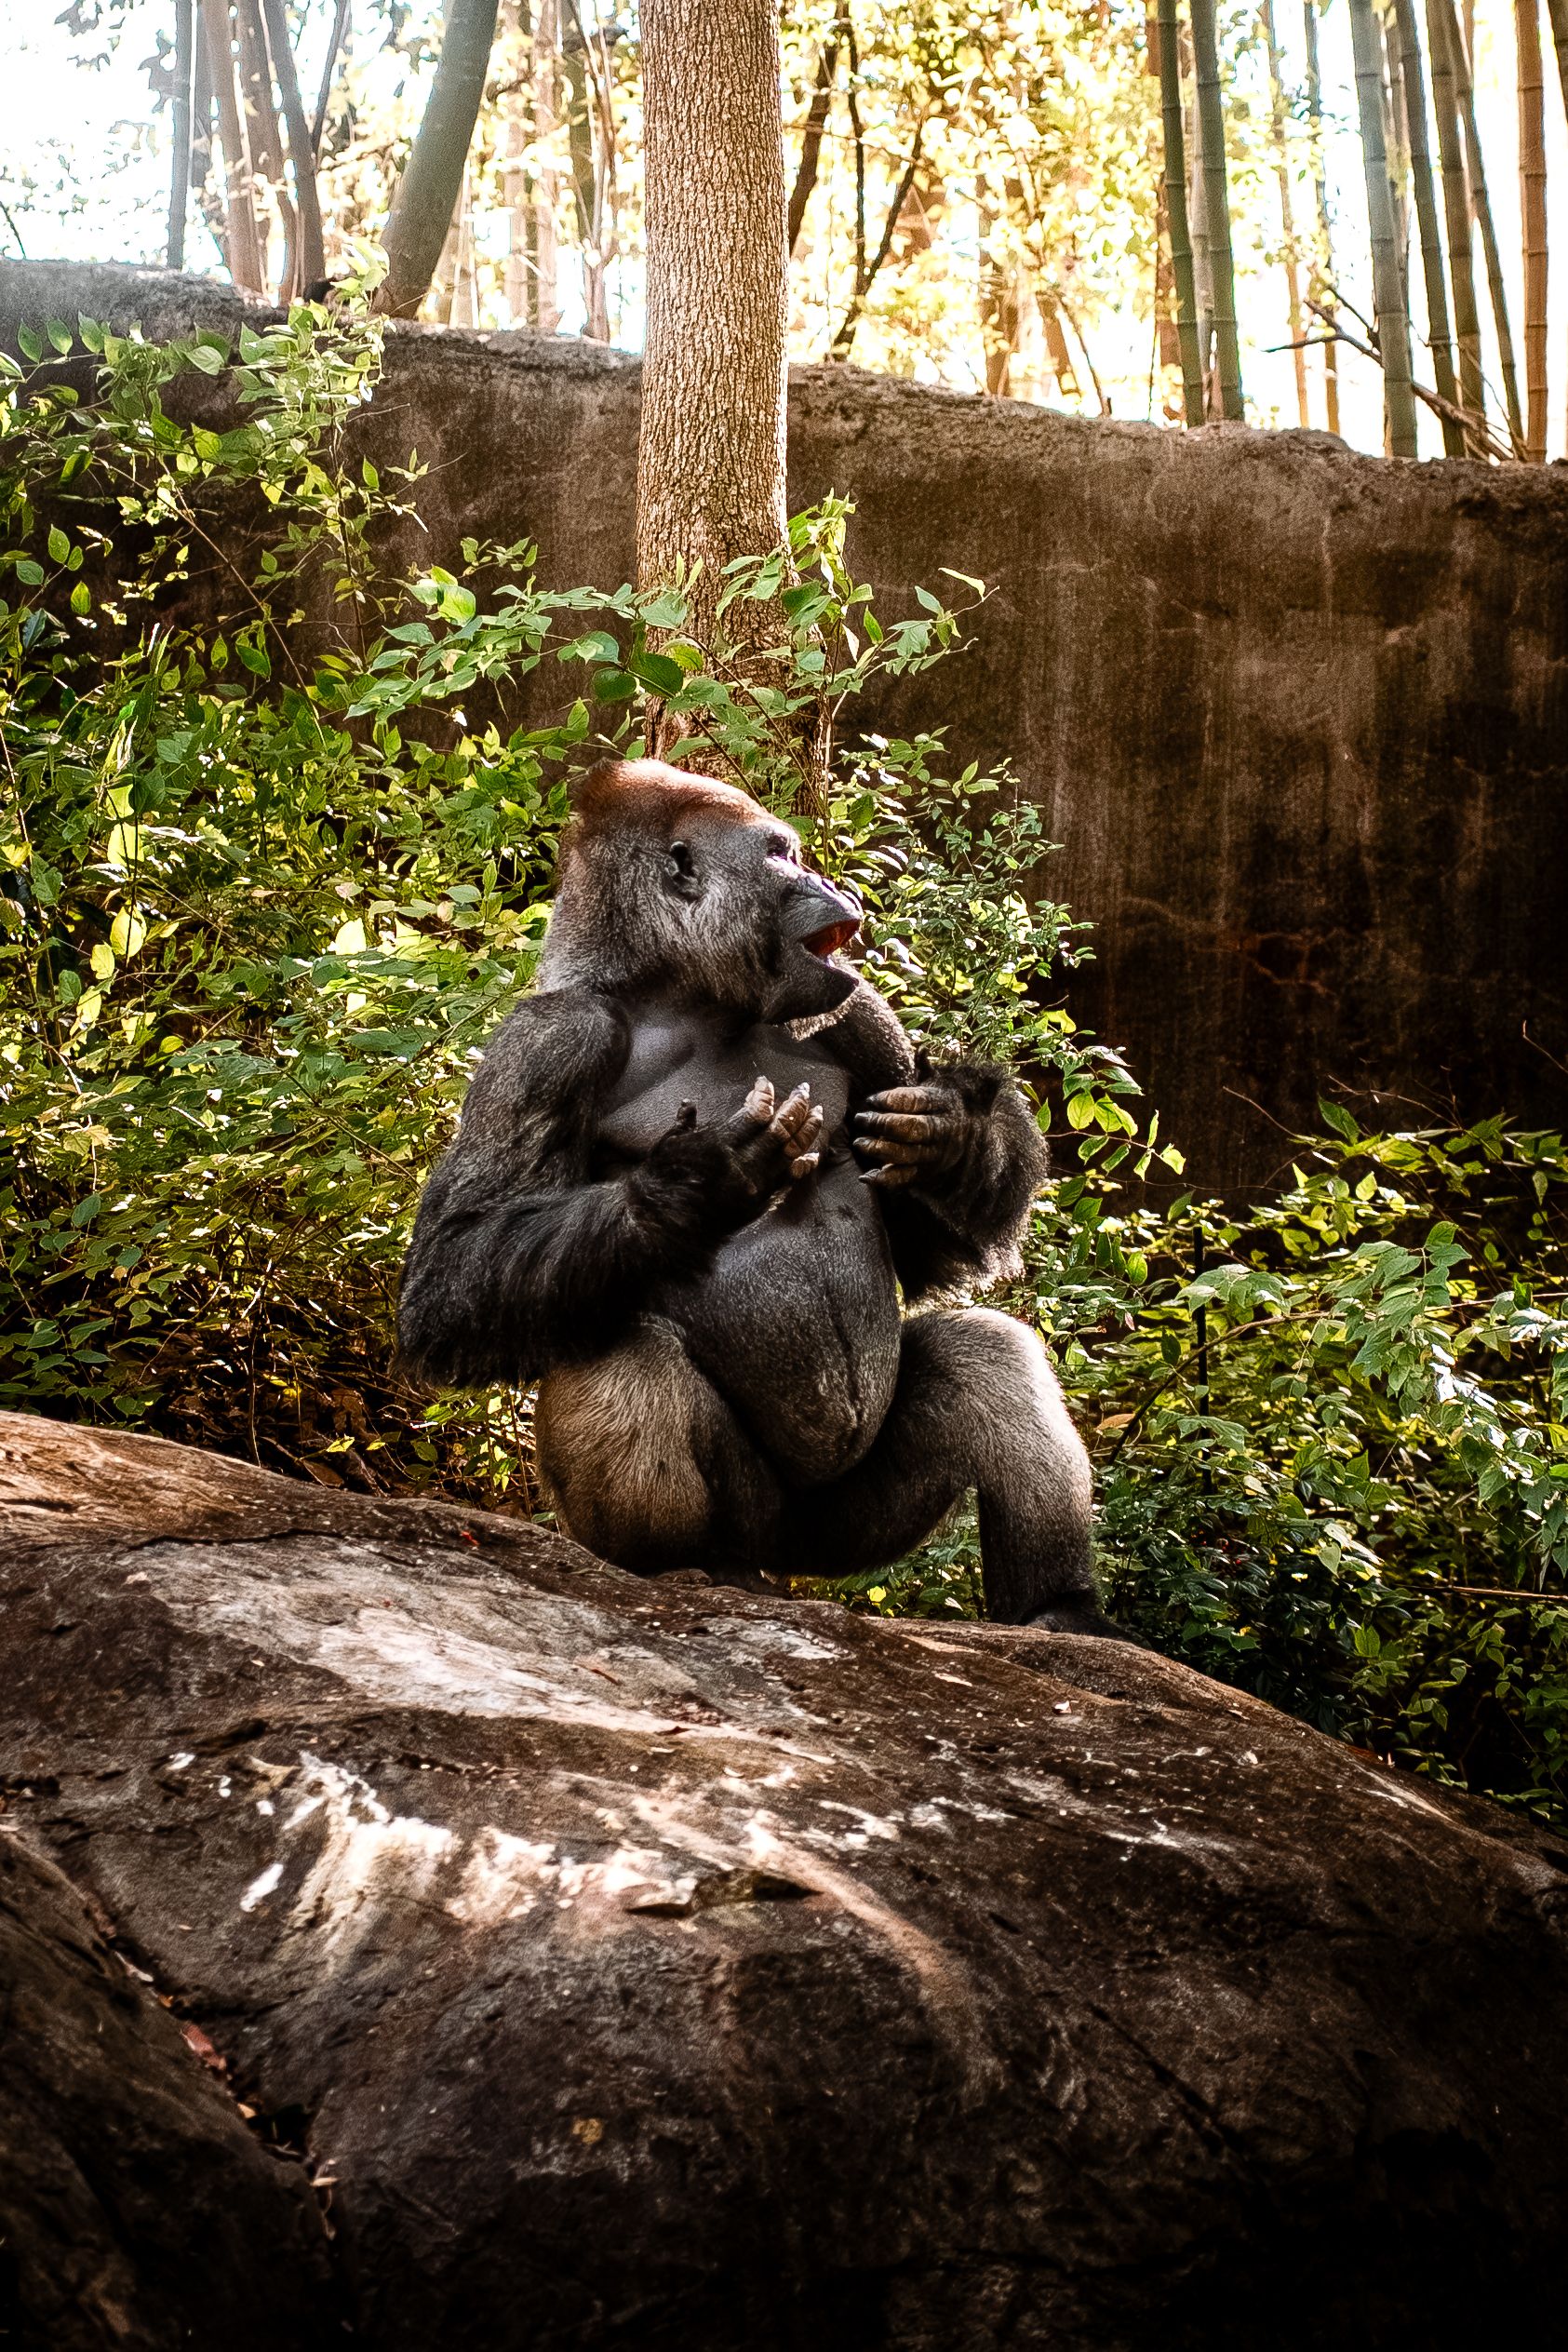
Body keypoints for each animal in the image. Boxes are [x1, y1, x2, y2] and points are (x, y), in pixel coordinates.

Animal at [398, 757, 1126, 1637]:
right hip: (752, 1527)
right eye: (780, 855)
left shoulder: (856, 1008)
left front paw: (954, 1138)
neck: (680, 995)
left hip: (842, 1533)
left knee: (984, 1356)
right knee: (617, 1349)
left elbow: (925, 1248)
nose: (830, 880)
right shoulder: (546, 1042)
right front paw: (695, 1185)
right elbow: (452, 1269)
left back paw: (1059, 1608)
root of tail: (788, 1568)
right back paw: (681, 1565)